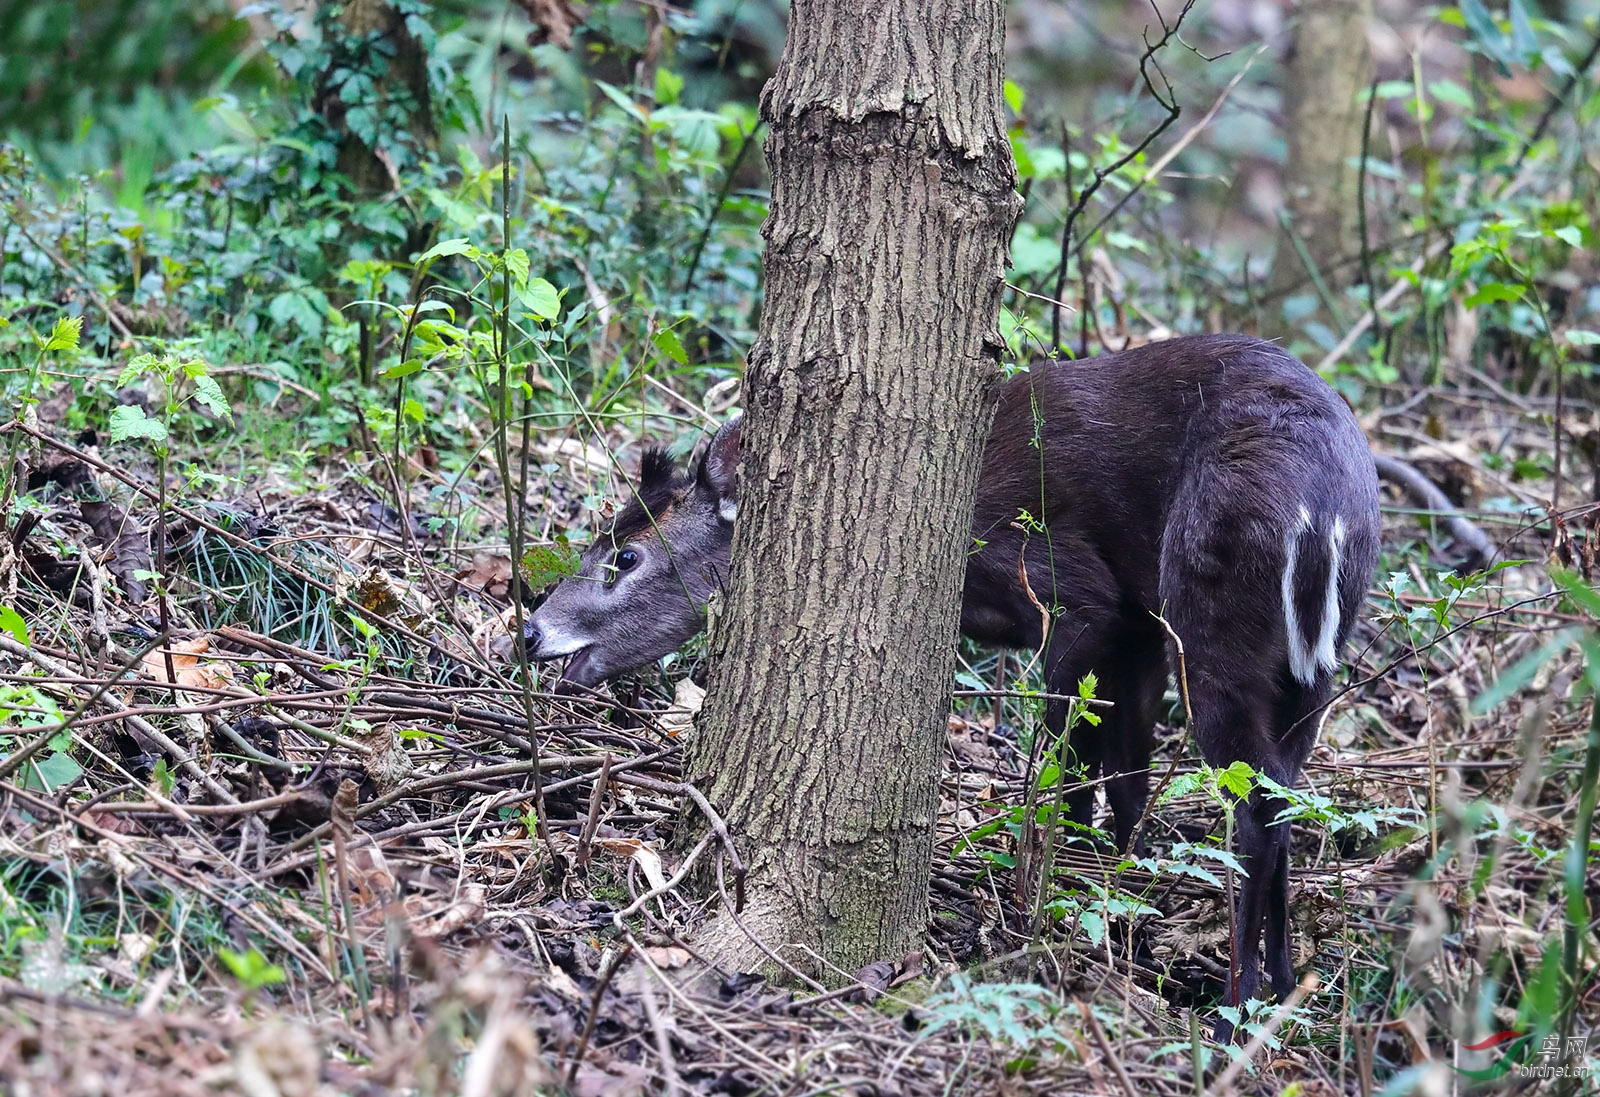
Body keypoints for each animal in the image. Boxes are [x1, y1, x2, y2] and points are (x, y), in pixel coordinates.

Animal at [528, 335, 1388, 1042]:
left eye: (626, 556)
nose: (531, 630)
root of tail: (1325, 512)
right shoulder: (1139, 626)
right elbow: (1127, 776)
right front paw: (1118, 895)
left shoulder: (1074, 593)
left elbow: (1072, 764)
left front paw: (1057, 898)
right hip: (1308, 664)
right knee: (1288, 792)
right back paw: (1284, 984)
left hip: (1211, 614)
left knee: (1257, 805)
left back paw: (1237, 1002)